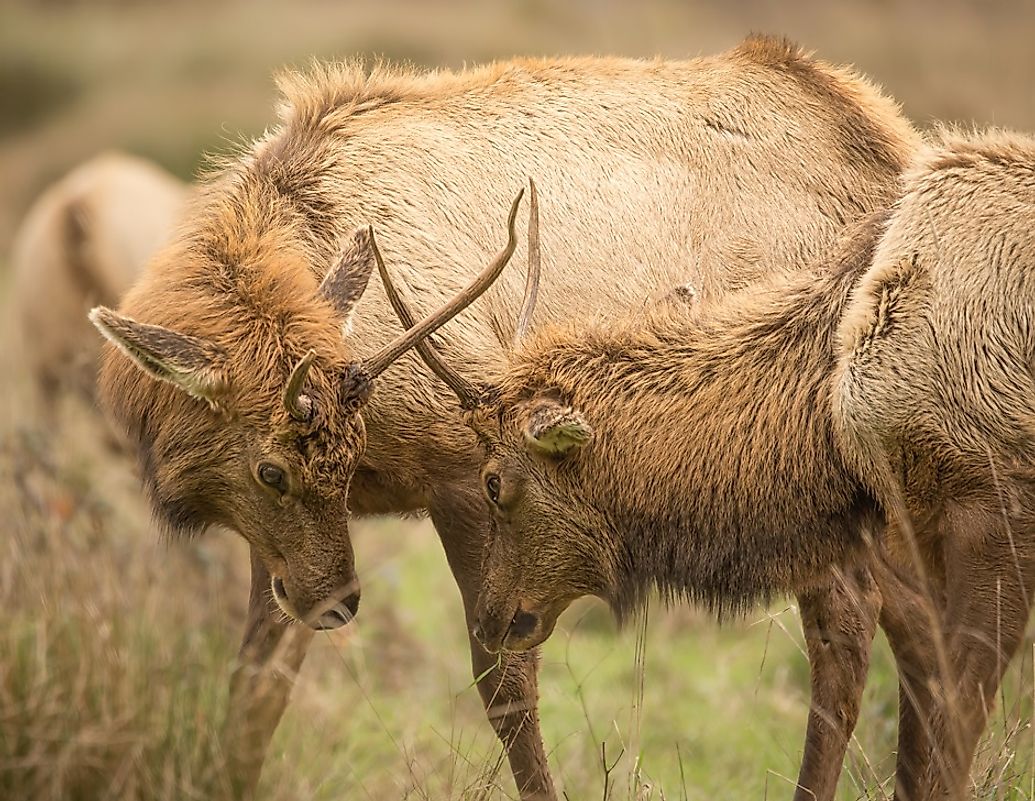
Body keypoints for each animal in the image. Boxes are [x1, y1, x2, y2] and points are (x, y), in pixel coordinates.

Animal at [84, 37, 919, 801]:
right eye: (273, 470)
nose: (339, 603)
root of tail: (893, 144)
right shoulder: (291, 542)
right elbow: (257, 681)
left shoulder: (469, 472)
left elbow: (505, 684)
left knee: (848, 628)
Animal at [397, 128, 1035, 798]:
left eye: (494, 483)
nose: (487, 621)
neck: (829, 419)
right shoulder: (921, 525)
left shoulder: (996, 508)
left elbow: (952, 736)